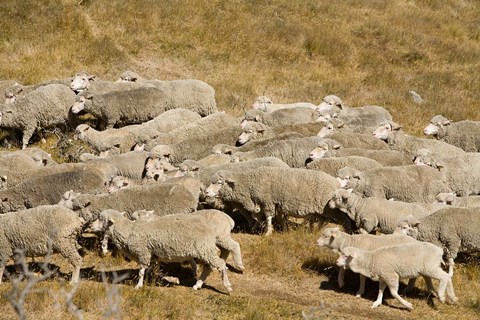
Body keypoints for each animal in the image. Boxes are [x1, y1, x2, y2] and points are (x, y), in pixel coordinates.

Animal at [88, 208, 236, 292]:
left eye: (101, 219)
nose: (90, 225)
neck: (129, 230)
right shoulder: (153, 255)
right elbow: (153, 270)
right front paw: (165, 278)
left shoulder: (143, 253)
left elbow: (141, 272)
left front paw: (138, 286)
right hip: (204, 250)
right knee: (209, 267)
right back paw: (197, 285)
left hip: (204, 248)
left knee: (221, 264)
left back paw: (227, 286)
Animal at [204, 166, 340, 234]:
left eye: (219, 183)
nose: (206, 192)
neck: (249, 183)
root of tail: (336, 183)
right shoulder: (271, 203)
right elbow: (259, 217)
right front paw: (283, 229)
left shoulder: (267, 201)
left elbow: (268, 217)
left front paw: (268, 232)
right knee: (318, 219)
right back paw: (311, 229)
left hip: (326, 208)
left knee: (324, 220)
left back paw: (316, 230)